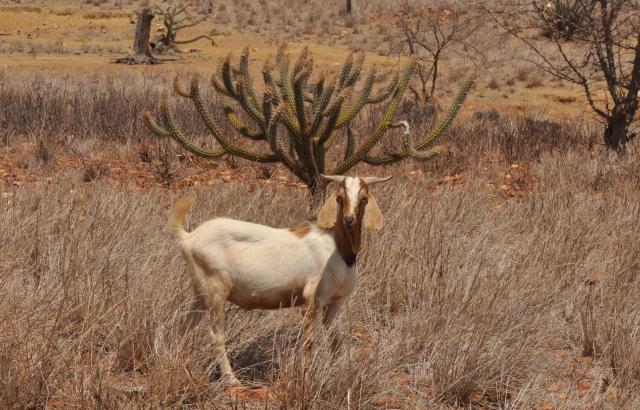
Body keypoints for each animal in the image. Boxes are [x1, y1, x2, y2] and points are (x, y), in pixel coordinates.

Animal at [169, 175, 390, 386]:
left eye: (364, 199)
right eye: (339, 198)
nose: (349, 220)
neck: (338, 249)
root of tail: (189, 237)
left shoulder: (335, 302)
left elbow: (335, 340)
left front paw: (338, 371)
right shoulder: (313, 299)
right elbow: (308, 341)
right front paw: (304, 378)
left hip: (201, 293)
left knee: (184, 327)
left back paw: (182, 365)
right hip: (216, 290)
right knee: (216, 335)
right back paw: (232, 380)